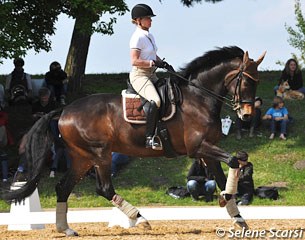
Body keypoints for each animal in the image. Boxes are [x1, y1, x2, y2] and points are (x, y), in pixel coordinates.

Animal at [1, 46, 264, 236]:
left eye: (256, 81)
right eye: (246, 81)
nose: (247, 115)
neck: (199, 98)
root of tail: (64, 110)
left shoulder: (205, 151)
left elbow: (224, 172)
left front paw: (237, 216)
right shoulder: (198, 148)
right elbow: (234, 161)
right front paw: (228, 202)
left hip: (82, 157)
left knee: (63, 187)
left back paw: (66, 229)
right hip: (100, 154)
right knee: (104, 188)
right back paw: (140, 218)